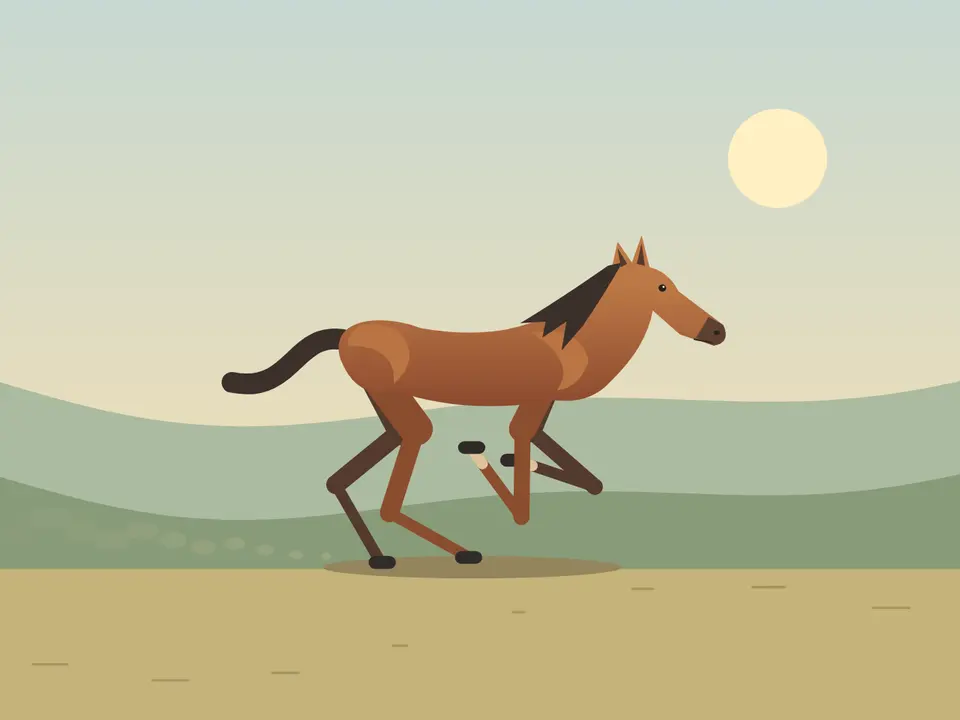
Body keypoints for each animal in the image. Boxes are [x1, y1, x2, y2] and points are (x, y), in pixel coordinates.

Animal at [221, 237, 726, 569]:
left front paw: (504, 459)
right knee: (387, 499)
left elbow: (590, 481)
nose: (717, 330)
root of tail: (345, 333)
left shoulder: (542, 408)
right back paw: (461, 550)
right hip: (407, 420)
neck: (570, 344)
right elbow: (522, 502)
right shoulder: (534, 404)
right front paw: (489, 458)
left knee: (338, 479)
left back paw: (382, 557)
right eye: (662, 287)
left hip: (389, 415)